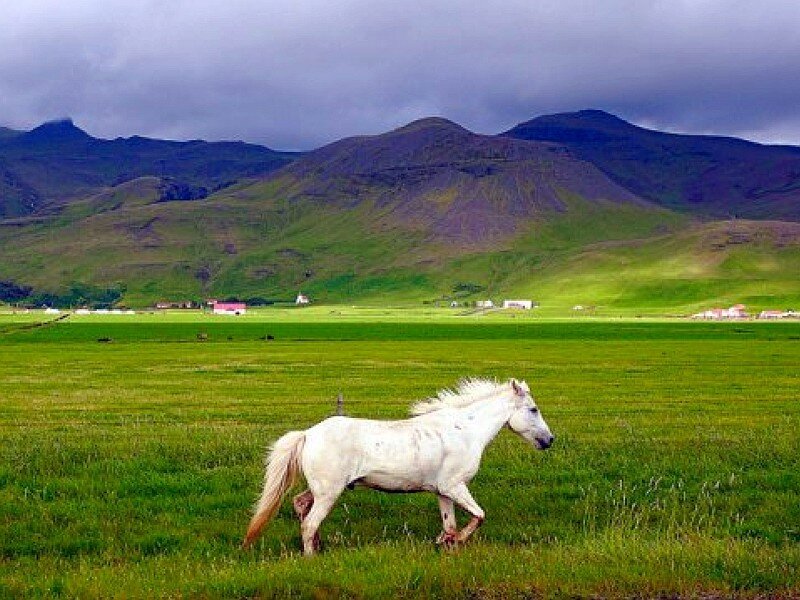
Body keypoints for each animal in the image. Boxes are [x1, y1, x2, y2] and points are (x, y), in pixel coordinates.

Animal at [242, 378, 554, 556]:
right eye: (533, 409)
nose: (549, 440)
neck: (465, 430)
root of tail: (308, 434)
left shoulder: (443, 491)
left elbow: (450, 524)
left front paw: (447, 545)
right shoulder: (455, 486)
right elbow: (479, 516)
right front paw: (453, 542)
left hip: (322, 489)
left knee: (300, 505)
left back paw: (319, 546)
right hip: (329, 492)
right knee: (308, 523)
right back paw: (311, 557)